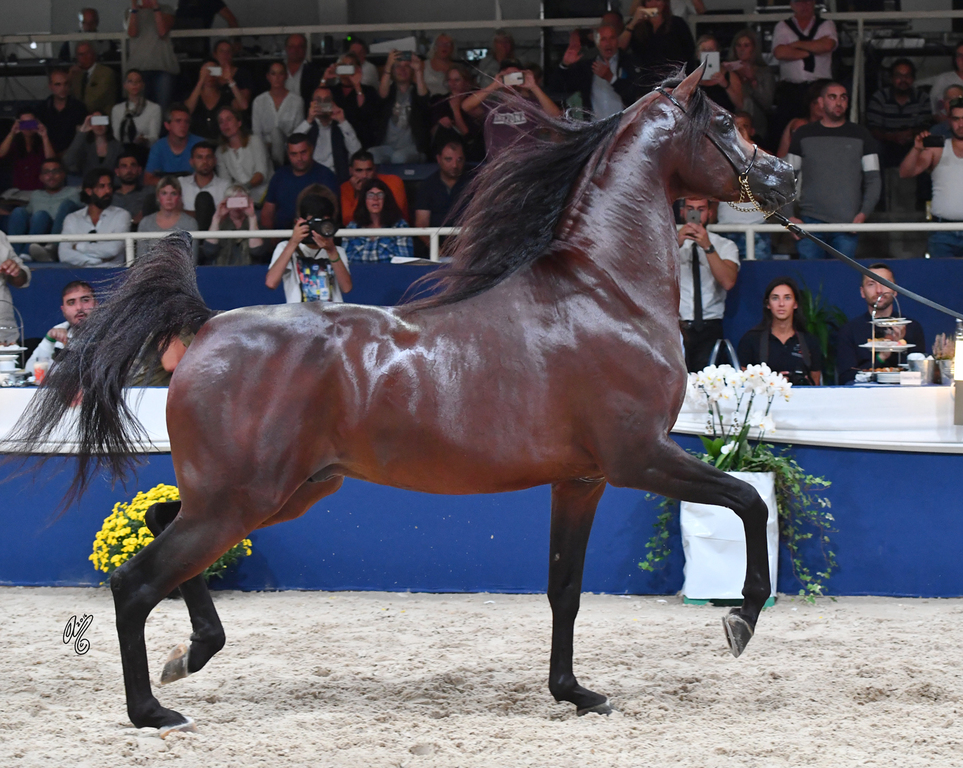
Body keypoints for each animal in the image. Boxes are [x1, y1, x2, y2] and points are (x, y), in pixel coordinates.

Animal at [10, 65, 795, 734]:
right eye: (722, 120)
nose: (784, 177)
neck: (603, 293)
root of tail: (205, 327)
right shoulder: (641, 457)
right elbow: (748, 503)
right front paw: (740, 620)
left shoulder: (582, 480)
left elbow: (564, 588)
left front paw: (575, 693)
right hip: (244, 498)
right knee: (135, 582)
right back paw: (153, 710)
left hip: (279, 491)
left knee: (161, 521)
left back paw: (191, 655)